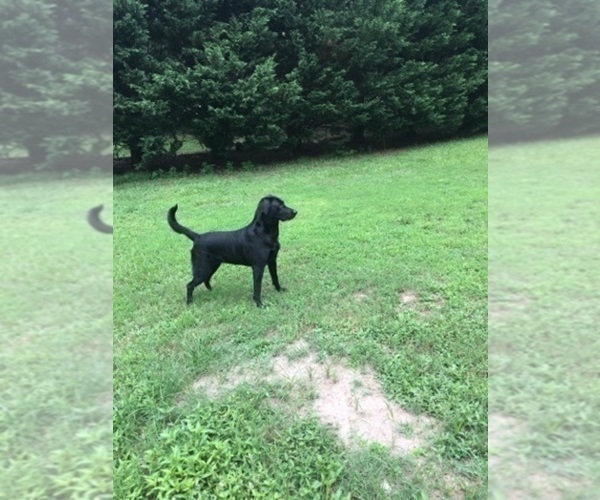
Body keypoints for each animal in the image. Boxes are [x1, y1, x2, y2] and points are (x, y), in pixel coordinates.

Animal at [166, 196, 298, 306]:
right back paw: (189, 302)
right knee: (190, 285)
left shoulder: (272, 261)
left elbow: (275, 278)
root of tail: (198, 237)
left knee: (206, 280)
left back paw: (211, 291)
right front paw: (259, 304)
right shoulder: (258, 267)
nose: (295, 212)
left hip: (212, 266)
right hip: (203, 268)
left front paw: (280, 290)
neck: (263, 233)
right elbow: (257, 287)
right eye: (280, 206)